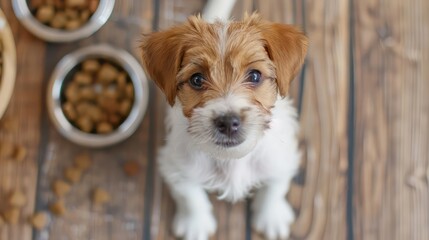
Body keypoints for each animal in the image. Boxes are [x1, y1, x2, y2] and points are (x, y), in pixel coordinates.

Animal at [142, 13, 306, 240]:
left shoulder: (281, 160)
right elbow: (191, 197)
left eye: (254, 75)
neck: (232, 160)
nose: (228, 122)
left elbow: (274, 188)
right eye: (196, 79)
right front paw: (196, 225)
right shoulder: (177, 167)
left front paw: (271, 217)